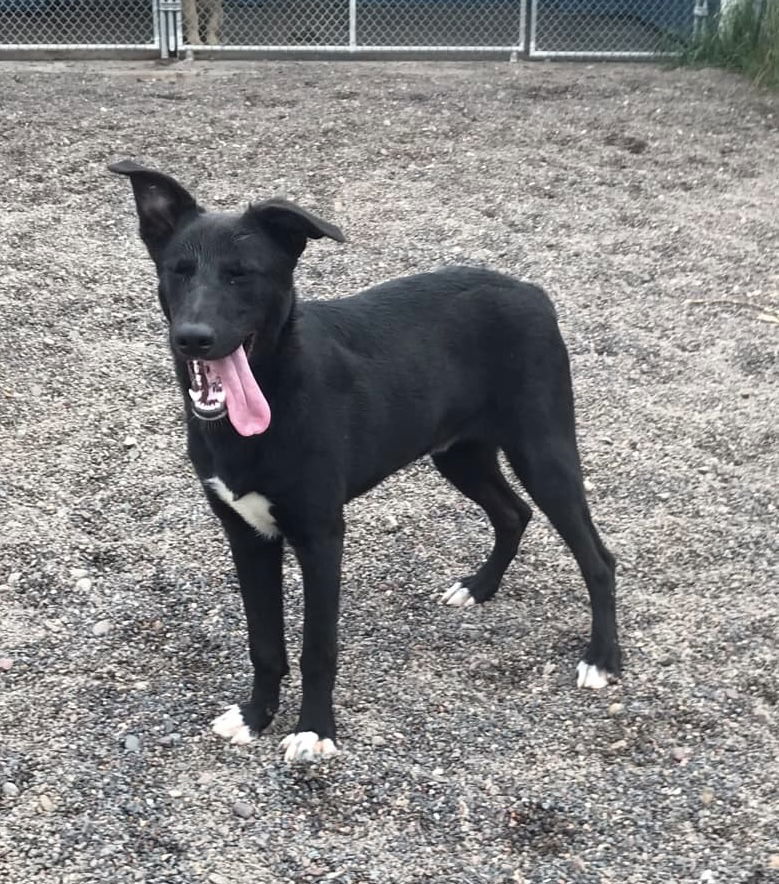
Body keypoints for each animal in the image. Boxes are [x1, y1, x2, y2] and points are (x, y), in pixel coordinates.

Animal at [109, 159, 620, 760]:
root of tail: (531, 290)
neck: (272, 399)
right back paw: (479, 587)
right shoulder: (246, 534)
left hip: (544, 451)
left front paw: (314, 729)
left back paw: (602, 658)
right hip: (459, 453)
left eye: (242, 274)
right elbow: (264, 641)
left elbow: (317, 647)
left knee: (597, 558)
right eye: (179, 271)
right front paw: (257, 717)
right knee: (513, 513)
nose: (193, 338)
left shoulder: (321, 536)